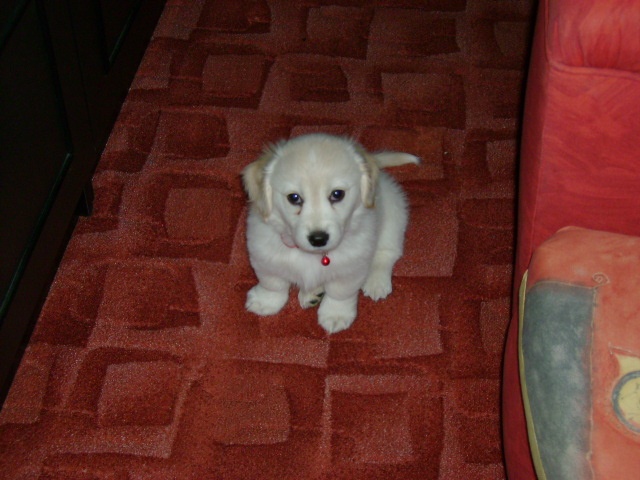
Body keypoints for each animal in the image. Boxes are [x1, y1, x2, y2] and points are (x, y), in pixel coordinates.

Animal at [241, 133, 419, 333]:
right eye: (294, 198)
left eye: (337, 194)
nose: (318, 239)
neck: (311, 256)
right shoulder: (263, 257)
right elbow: (272, 283)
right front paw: (266, 301)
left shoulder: (351, 268)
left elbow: (339, 294)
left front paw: (335, 314)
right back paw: (311, 293)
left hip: (394, 216)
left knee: (386, 253)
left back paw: (376, 281)